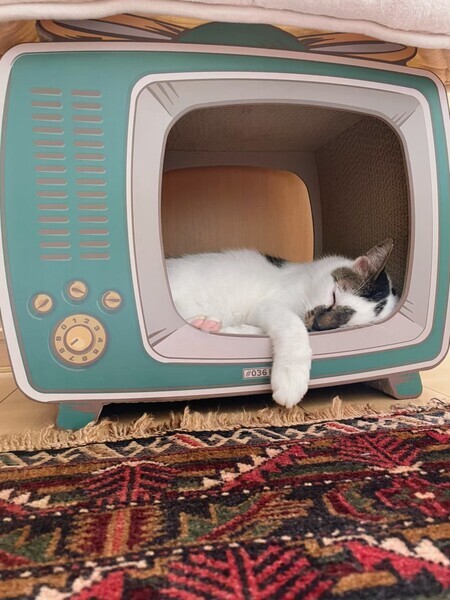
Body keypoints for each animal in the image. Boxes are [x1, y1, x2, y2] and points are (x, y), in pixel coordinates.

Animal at [166, 239, 398, 408]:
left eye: (345, 327)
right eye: (333, 298)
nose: (318, 326)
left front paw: (234, 330)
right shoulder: (269, 305)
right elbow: (293, 327)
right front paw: (291, 380)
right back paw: (202, 323)